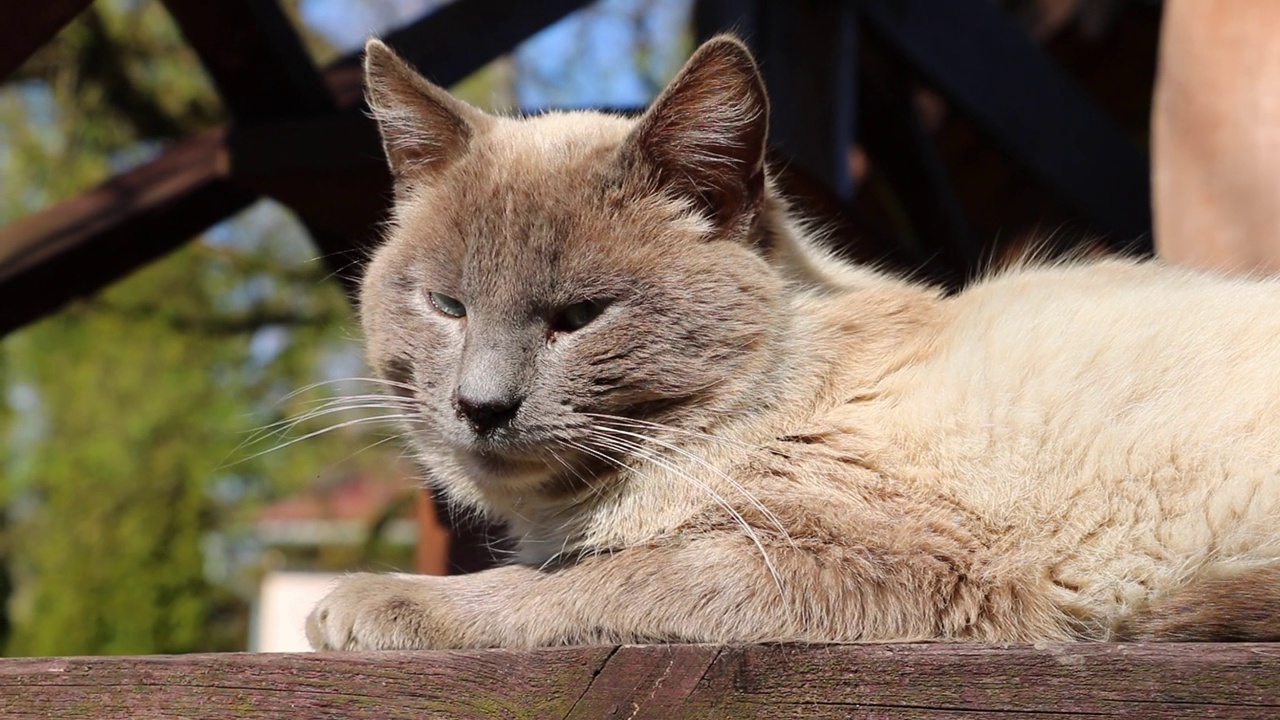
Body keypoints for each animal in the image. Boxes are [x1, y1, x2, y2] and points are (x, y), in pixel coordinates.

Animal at [307, 36, 1280, 648]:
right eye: (448, 306)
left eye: (579, 317)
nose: (481, 406)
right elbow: (575, 574)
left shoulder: (859, 560)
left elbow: (586, 583)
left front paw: (365, 601)